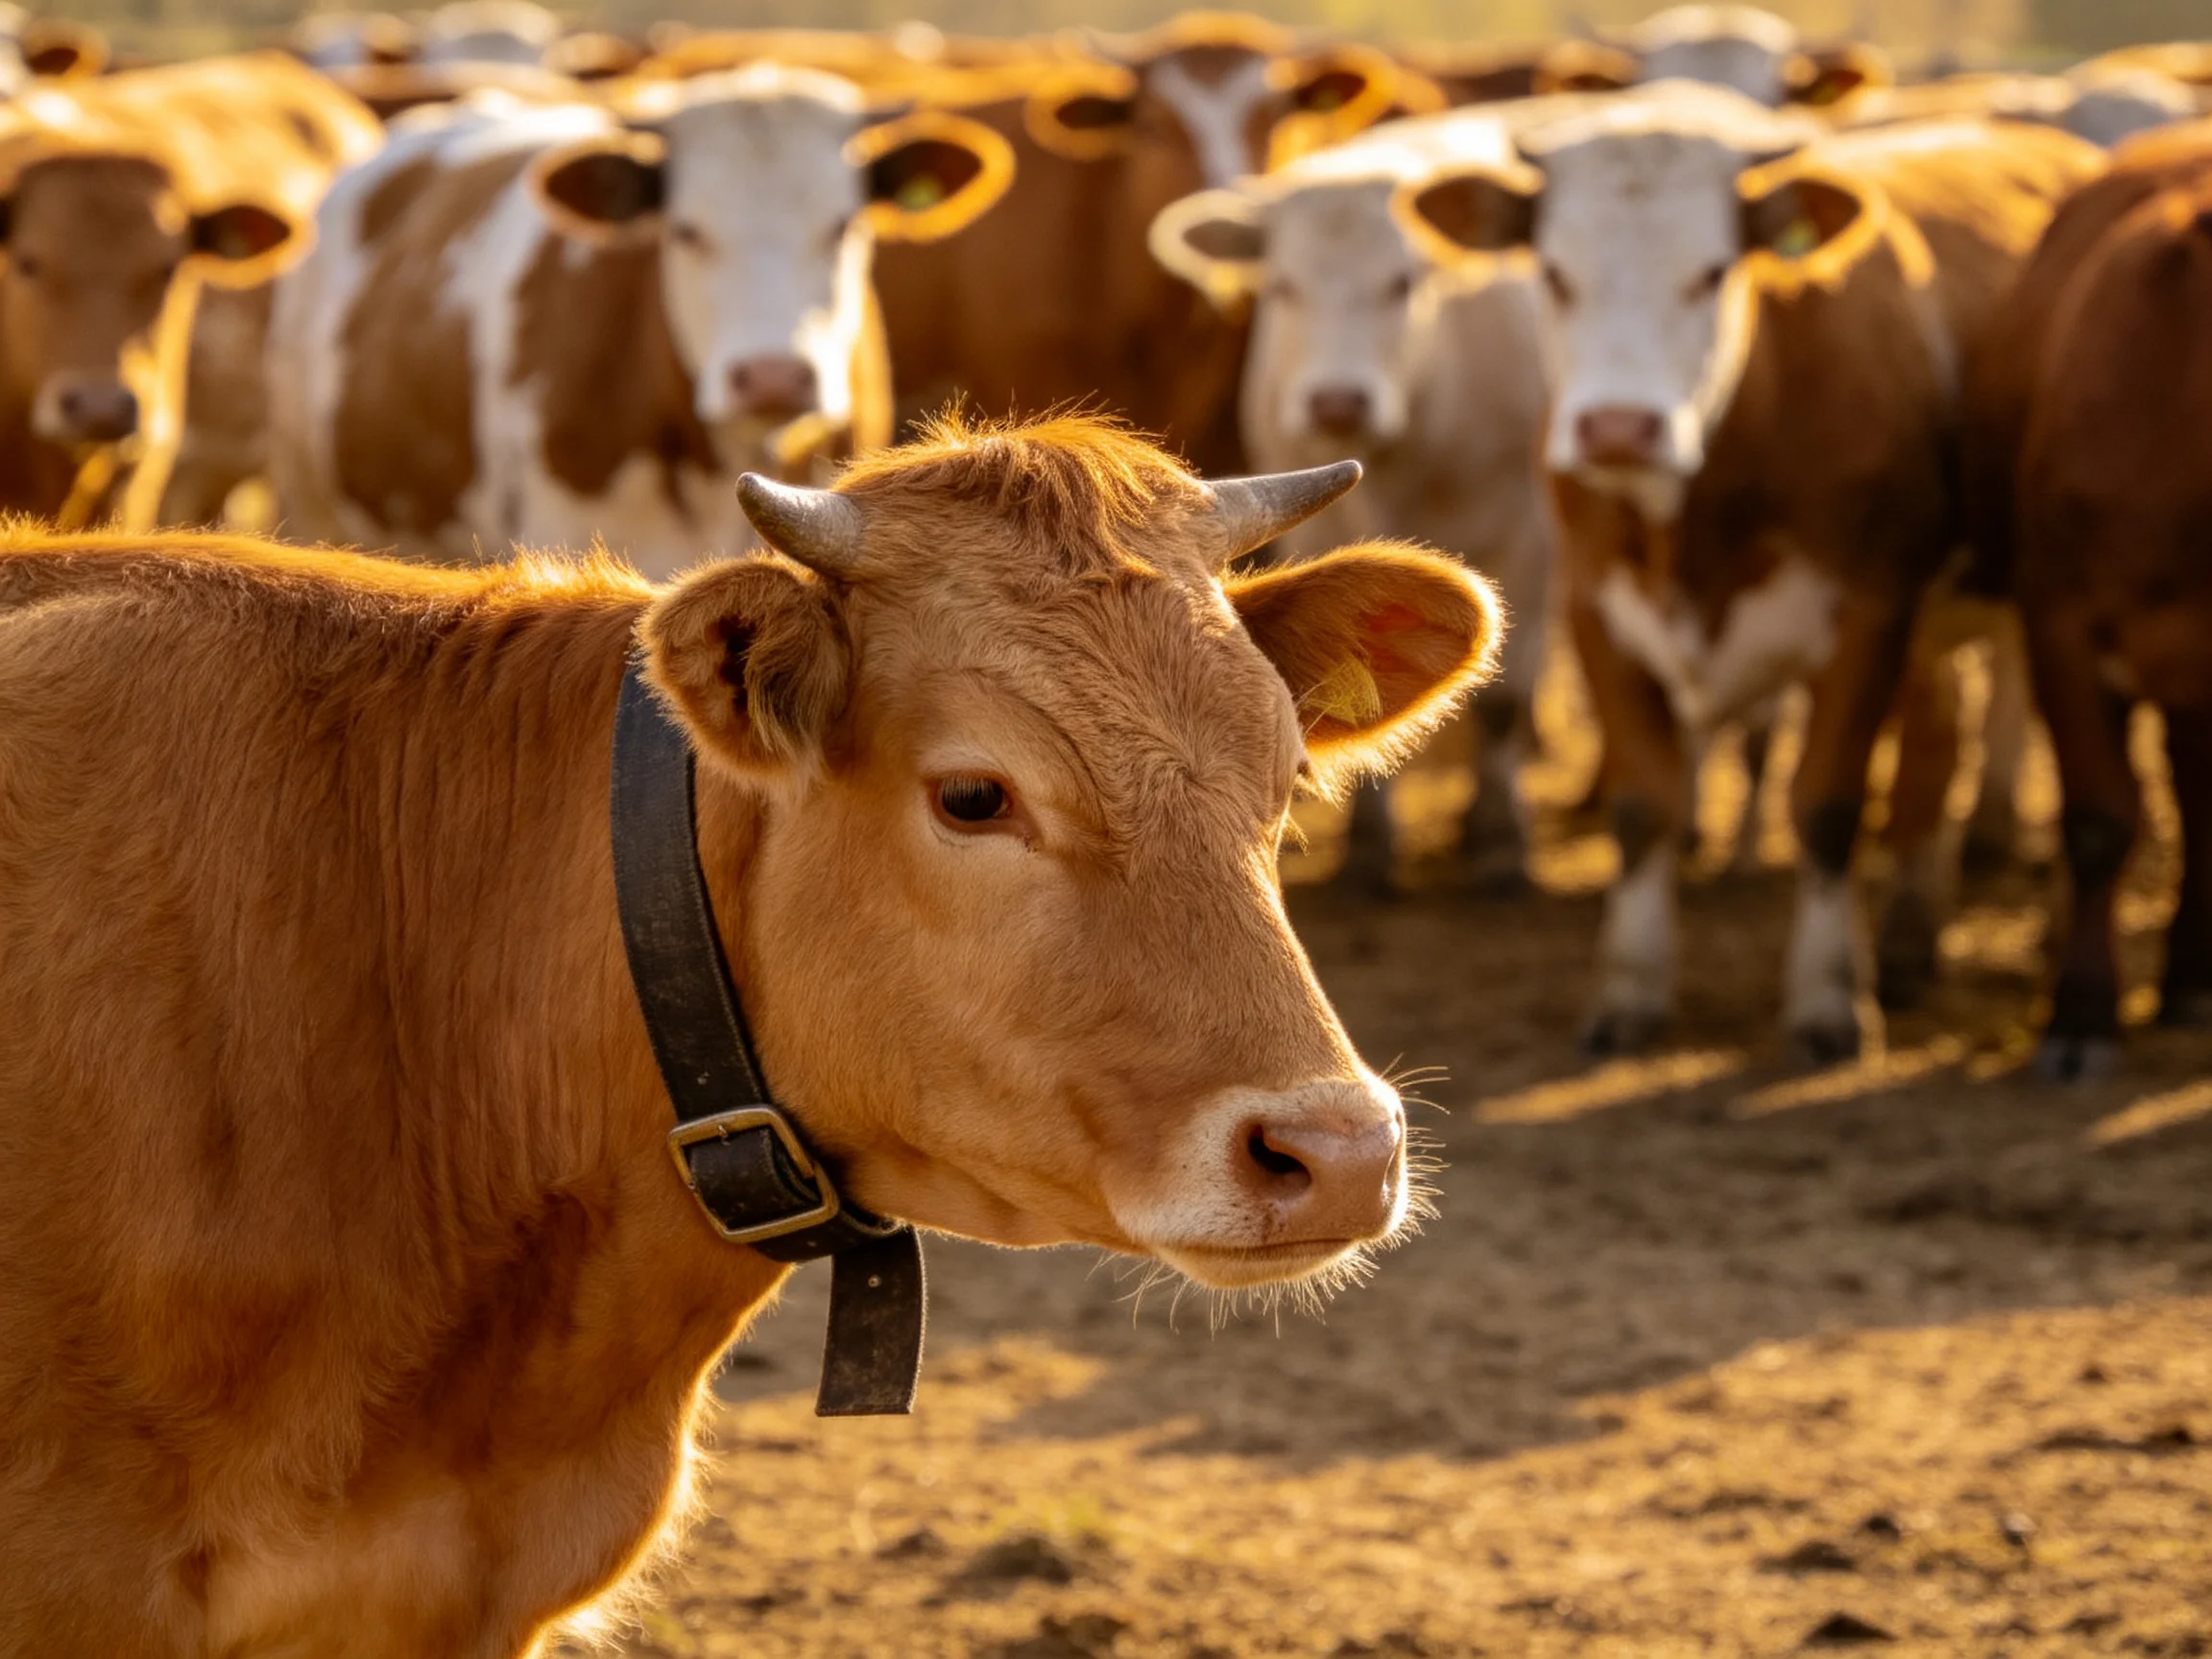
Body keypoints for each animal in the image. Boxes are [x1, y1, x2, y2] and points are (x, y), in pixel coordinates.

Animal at [1152, 109, 1559, 892]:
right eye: (1282, 285)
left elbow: (1501, 702)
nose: (1337, 400)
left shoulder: (1528, 530)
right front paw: (1372, 844)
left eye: (1403, 282)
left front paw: (1503, 841)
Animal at [1398, 86, 2100, 1058]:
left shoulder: (1869, 615)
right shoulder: (1598, 608)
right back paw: (1912, 940)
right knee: (1936, 742)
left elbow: (1829, 807)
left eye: (1713, 271)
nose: (1618, 428)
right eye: (1555, 274)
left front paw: (1828, 998)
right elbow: (1644, 805)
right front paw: (1630, 990)